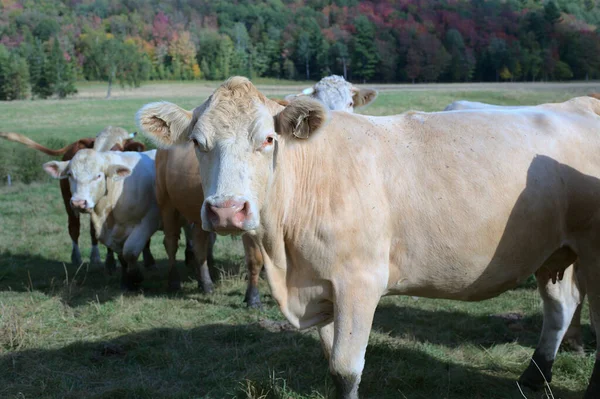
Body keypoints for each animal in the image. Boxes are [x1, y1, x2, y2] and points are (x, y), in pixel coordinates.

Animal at [0, 128, 155, 272]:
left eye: (116, 149)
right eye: (95, 148)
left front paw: (147, 258)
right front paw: (110, 262)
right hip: (68, 201)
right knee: (74, 228)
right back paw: (80, 257)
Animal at [42, 150, 161, 290]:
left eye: (98, 176)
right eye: (70, 174)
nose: (78, 203)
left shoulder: (148, 221)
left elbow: (130, 251)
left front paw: (136, 277)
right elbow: (121, 255)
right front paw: (126, 282)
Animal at [136, 76, 600, 398]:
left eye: (267, 138)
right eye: (198, 142)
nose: (227, 210)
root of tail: (580, 103)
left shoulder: (359, 282)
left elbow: (346, 368)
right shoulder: (322, 285)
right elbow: (331, 361)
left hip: (591, 254)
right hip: (553, 253)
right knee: (560, 309)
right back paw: (534, 375)